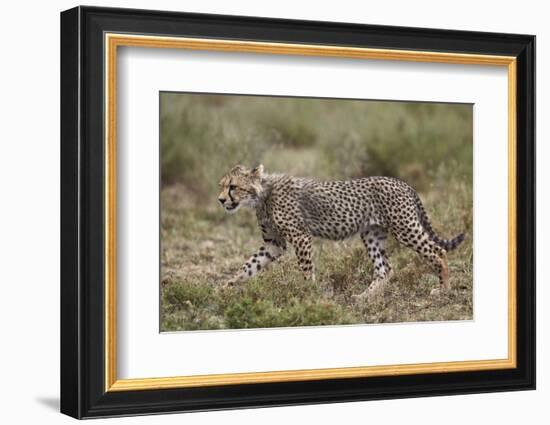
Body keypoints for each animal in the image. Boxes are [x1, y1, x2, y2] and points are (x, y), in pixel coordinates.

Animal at [220, 163, 466, 298]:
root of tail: (400, 182)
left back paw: (443, 289)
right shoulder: (274, 243)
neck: (262, 195)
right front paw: (226, 287)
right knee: (385, 269)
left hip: (405, 228)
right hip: (371, 234)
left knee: (437, 251)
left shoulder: (300, 237)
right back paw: (364, 297)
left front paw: (308, 294)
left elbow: (306, 270)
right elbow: (249, 265)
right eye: (221, 186)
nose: (221, 200)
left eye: (233, 186)